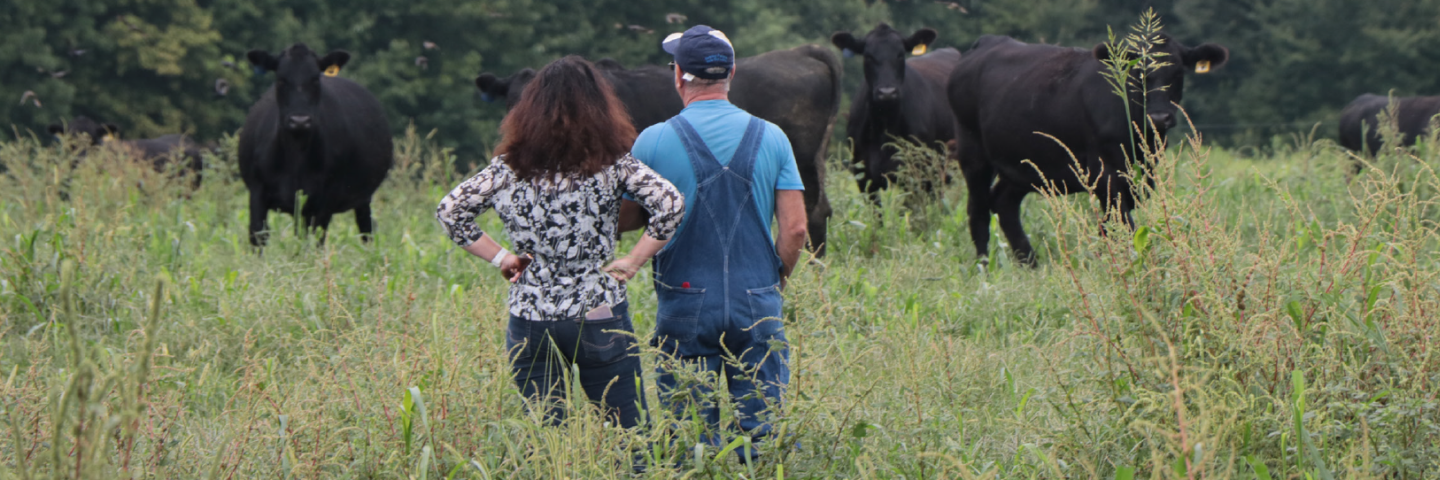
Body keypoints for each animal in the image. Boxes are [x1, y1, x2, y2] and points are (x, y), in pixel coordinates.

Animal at [239, 42, 394, 245]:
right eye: (281, 79)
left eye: (315, 79)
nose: (300, 120)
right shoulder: (257, 192)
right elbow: (258, 235)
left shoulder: (326, 198)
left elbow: (317, 239)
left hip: (362, 198)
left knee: (365, 232)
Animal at [829, 23, 961, 196]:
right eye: (868, 56)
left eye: (900, 55)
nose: (887, 92)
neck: (884, 125)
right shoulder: (864, 176)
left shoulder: (917, 174)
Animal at [950, 33, 1232, 265]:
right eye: (1138, 73)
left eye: (1177, 74)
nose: (1160, 117)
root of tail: (986, 42)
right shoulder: (1104, 171)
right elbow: (1122, 225)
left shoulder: (1141, 174)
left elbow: (1110, 226)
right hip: (973, 151)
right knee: (978, 209)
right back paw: (984, 267)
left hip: (1024, 163)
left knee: (1004, 203)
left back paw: (1030, 264)